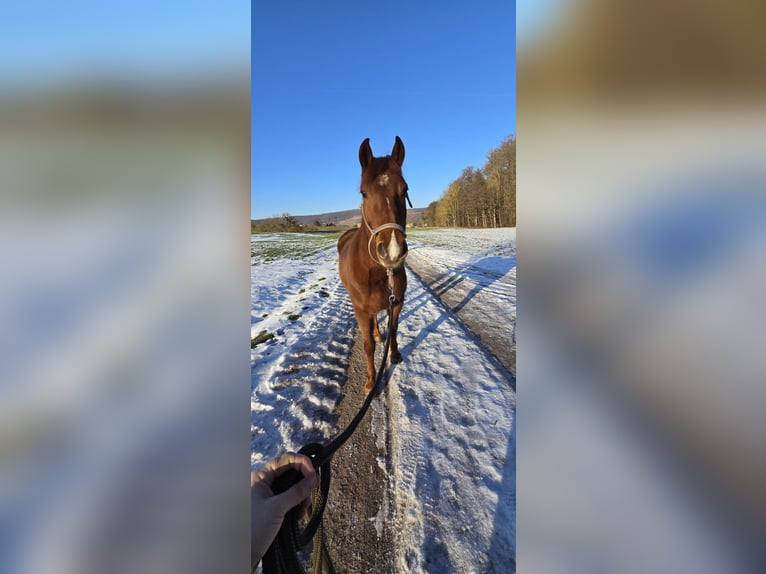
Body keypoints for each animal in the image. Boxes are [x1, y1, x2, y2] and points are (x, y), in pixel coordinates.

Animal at [338, 136, 412, 392]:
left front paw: (395, 354)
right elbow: (368, 344)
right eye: (363, 193)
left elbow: (393, 328)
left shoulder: (396, 302)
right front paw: (371, 381)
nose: (392, 251)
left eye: (405, 189)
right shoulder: (361, 310)